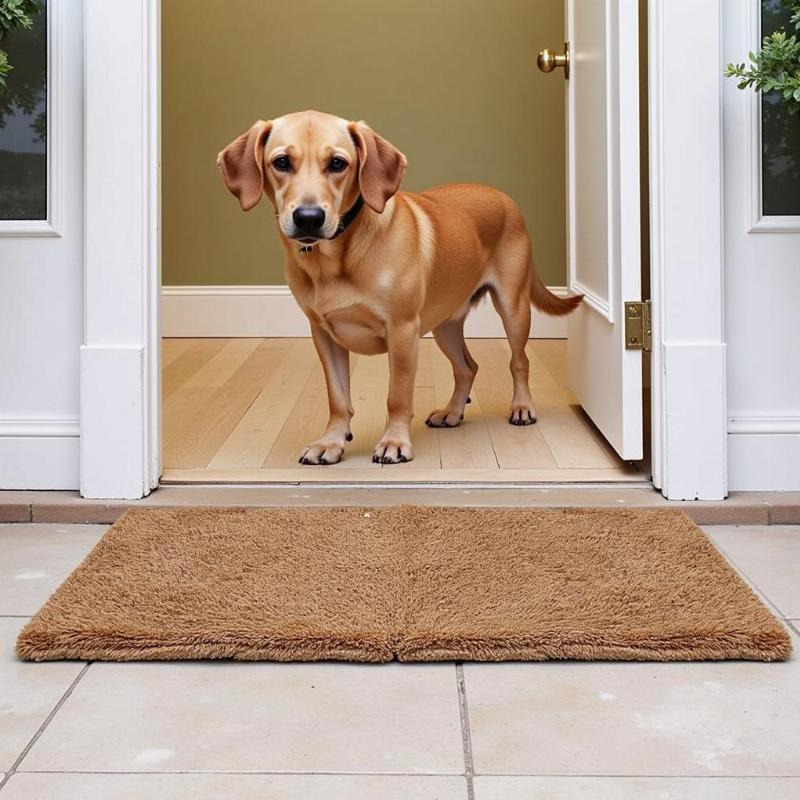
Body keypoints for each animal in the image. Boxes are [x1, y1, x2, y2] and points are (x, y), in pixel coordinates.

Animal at [219, 109, 580, 466]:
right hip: (445, 326)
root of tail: (503, 197)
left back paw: (522, 407)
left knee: (519, 362)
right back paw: (452, 411)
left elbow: (398, 396)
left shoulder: (403, 332)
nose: (309, 217)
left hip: (513, 310)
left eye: (337, 163)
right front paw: (331, 442)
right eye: (281, 162)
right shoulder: (324, 336)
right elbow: (338, 398)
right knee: (467, 368)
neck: (337, 259)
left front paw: (394, 442)